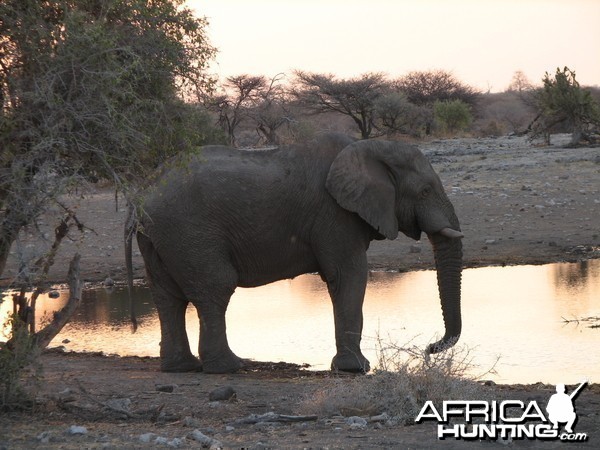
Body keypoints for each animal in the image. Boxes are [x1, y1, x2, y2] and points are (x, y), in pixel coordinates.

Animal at [125, 133, 464, 372]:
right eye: (425, 191)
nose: (429, 349)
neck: (369, 147)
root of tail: (144, 191)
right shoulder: (334, 214)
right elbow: (348, 275)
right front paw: (357, 369)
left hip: (161, 237)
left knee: (168, 297)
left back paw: (181, 368)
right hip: (189, 231)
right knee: (214, 288)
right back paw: (229, 367)